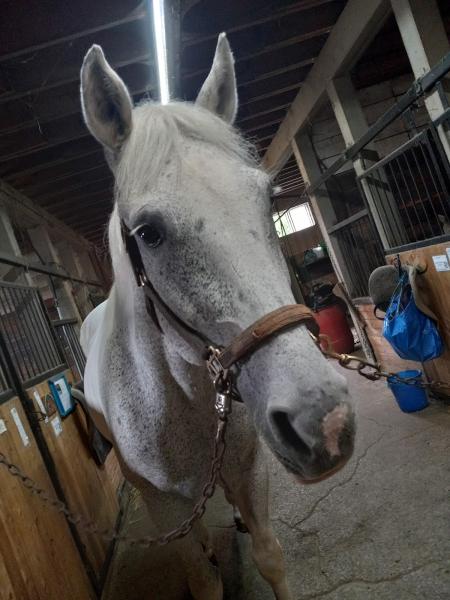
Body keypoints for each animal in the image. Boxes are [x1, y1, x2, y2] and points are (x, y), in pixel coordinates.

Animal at [80, 34, 356, 600]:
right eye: (148, 233)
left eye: (268, 200)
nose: (325, 419)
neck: (184, 402)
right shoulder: (166, 508)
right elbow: (203, 581)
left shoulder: (249, 467)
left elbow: (271, 555)